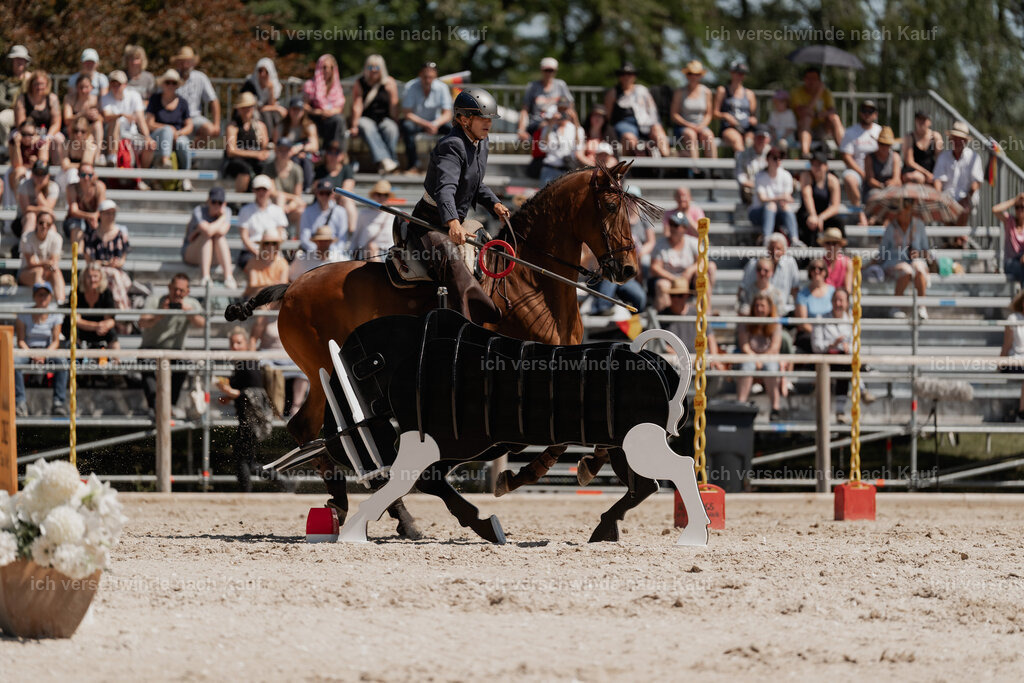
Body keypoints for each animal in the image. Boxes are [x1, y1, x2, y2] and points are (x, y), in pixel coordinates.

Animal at [226, 160, 665, 538]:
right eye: (610, 205)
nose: (627, 269)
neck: (531, 282)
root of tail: (293, 287)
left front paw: (589, 465)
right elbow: (553, 440)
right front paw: (516, 477)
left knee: (316, 431)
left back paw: (372, 512)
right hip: (326, 375)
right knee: (327, 434)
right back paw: (379, 512)